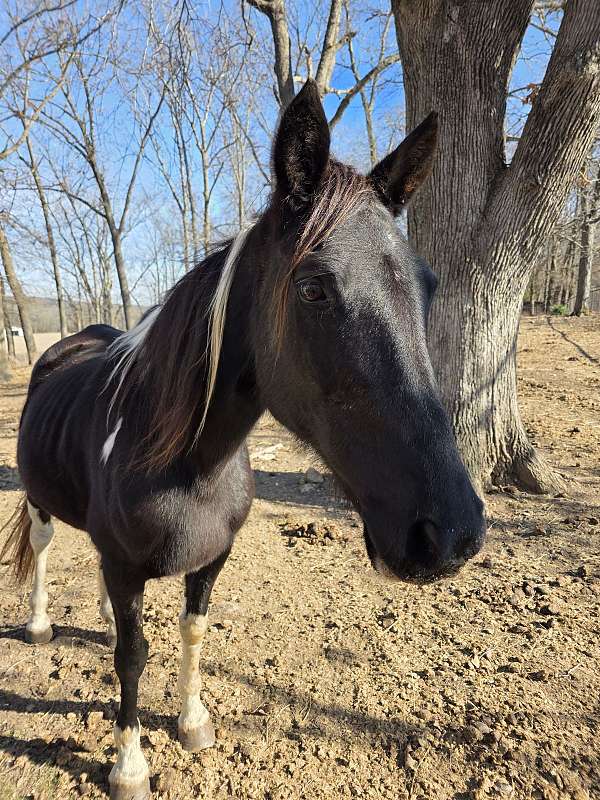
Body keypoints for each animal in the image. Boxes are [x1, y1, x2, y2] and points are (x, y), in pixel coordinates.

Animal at [2, 80, 485, 799]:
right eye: (313, 288)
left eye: (426, 287)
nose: (450, 534)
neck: (186, 463)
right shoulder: (128, 567)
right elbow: (132, 656)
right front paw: (129, 764)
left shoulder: (210, 560)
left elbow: (191, 632)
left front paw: (192, 721)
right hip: (38, 501)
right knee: (42, 546)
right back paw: (37, 624)